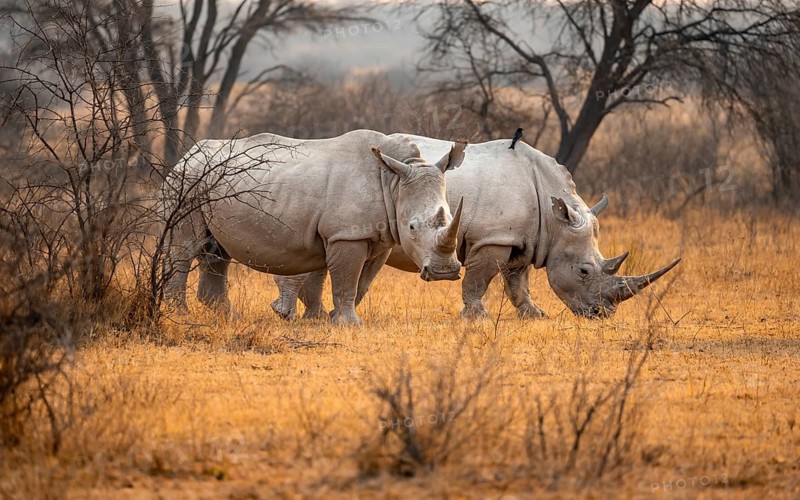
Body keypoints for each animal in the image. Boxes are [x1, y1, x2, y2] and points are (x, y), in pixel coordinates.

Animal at [160, 130, 467, 325]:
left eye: (451, 216)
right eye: (412, 227)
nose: (443, 273)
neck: (394, 180)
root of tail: (186, 155)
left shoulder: (379, 236)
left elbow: (360, 282)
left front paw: (321, 319)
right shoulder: (346, 235)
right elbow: (346, 279)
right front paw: (348, 324)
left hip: (203, 182)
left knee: (216, 252)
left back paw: (228, 318)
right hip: (186, 182)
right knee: (185, 248)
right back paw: (180, 316)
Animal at [271, 134, 680, 320]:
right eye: (583, 271)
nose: (602, 314)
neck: (554, 216)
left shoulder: (523, 238)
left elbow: (517, 281)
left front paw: (534, 315)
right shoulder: (493, 238)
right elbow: (480, 280)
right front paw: (476, 317)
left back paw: (309, 314)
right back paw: (288, 314)